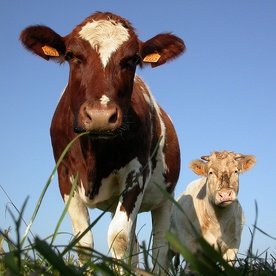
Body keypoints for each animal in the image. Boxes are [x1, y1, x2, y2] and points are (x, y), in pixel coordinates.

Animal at [20, 11, 185, 272]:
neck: (95, 154)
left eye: (133, 59)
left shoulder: (137, 173)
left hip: (166, 195)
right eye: (71, 55)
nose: (100, 116)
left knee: (160, 245)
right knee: (135, 244)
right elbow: (84, 242)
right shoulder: (64, 177)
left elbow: (119, 237)